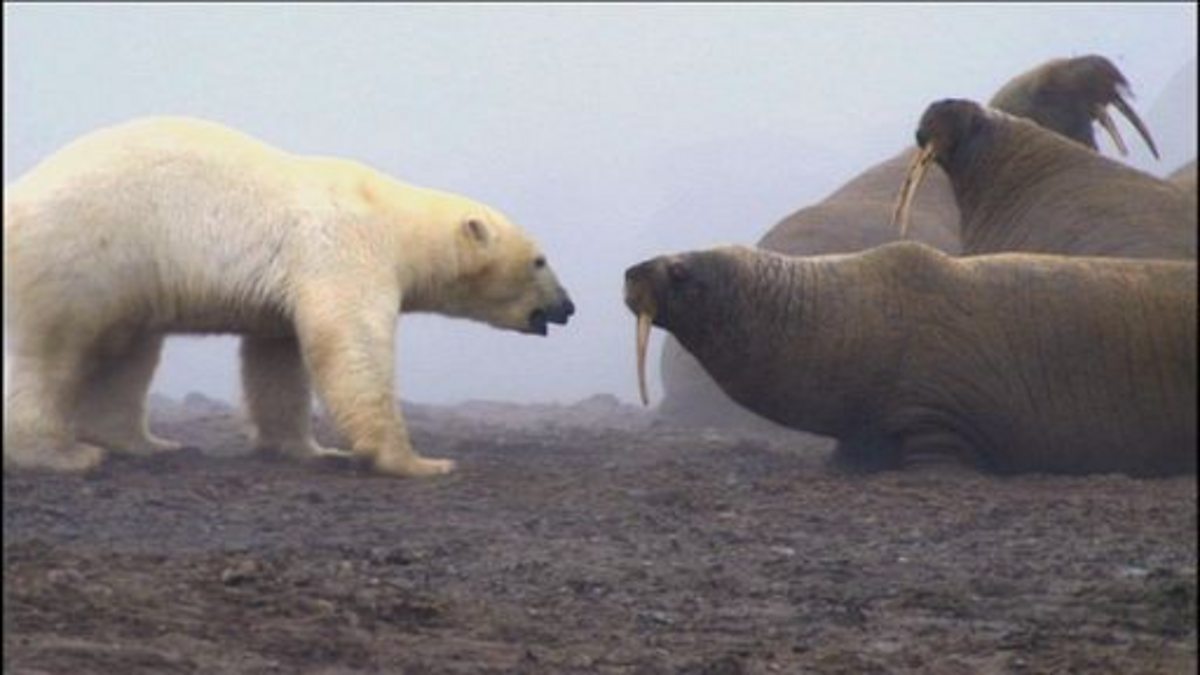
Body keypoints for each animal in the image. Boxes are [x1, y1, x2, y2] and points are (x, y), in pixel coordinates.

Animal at [3, 115, 576, 475]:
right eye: (540, 260)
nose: (568, 307)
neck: (394, 218)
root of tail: (16, 197)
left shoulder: (285, 294)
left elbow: (276, 360)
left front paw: (309, 451)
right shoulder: (344, 247)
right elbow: (352, 345)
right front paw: (418, 462)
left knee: (129, 352)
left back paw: (148, 444)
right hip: (85, 251)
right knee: (56, 352)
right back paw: (62, 454)